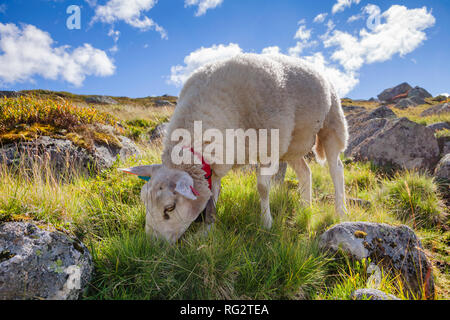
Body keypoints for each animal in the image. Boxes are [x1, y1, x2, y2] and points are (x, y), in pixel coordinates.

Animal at [121, 53, 350, 242]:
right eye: (144, 202)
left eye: (170, 207)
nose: (152, 245)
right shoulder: (215, 162)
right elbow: (213, 194)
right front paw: (208, 229)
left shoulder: (269, 145)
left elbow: (262, 188)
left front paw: (266, 223)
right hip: (292, 144)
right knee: (305, 172)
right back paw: (306, 207)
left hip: (332, 124)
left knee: (336, 168)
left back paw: (340, 211)